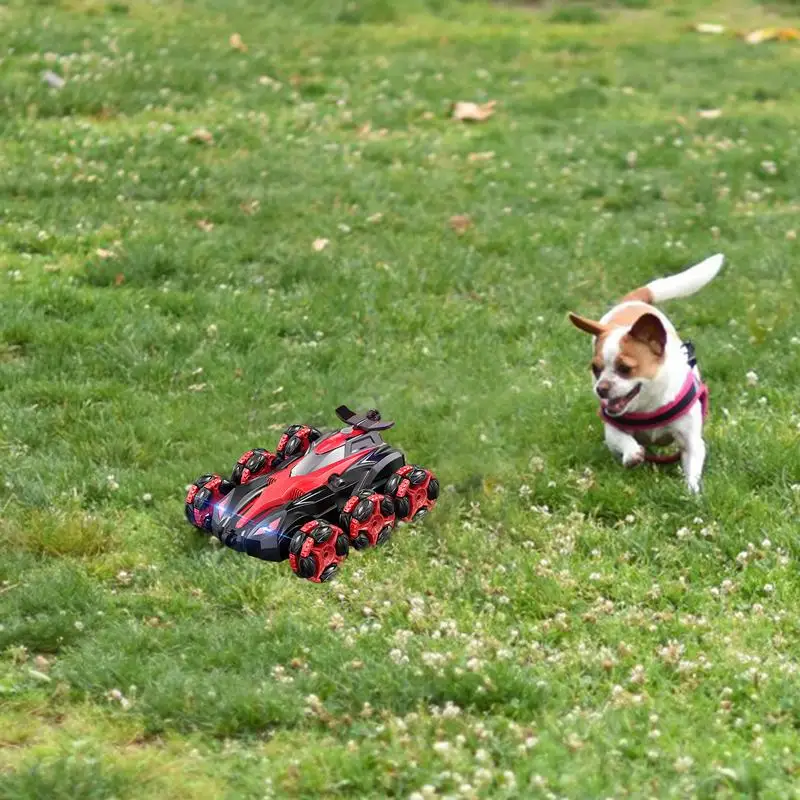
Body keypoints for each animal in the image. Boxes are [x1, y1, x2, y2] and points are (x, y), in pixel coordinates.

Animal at [568, 256, 724, 494]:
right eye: (595, 369)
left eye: (625, 368)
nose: (601, 389)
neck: (648, 407)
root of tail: (632, 302)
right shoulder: (612, 427)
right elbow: (621, 440)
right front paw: (632, 454)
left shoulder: (691, 443)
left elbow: (692, 467)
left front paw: (692, 492)